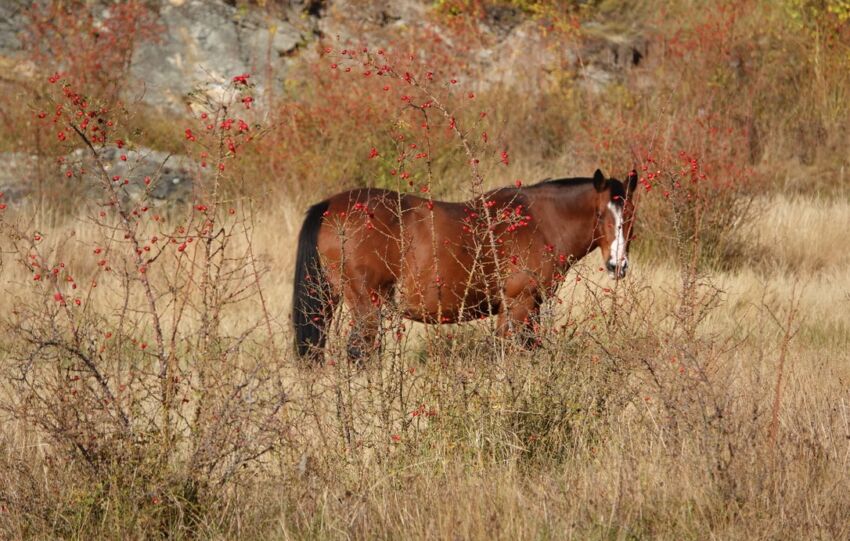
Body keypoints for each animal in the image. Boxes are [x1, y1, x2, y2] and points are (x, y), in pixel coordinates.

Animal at [292, 169, 638, 362]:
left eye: (631, 215)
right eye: (600, 215)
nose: (617, 265)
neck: (539, 222)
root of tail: (330, 206)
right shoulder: (520, 304)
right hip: (366, 304)